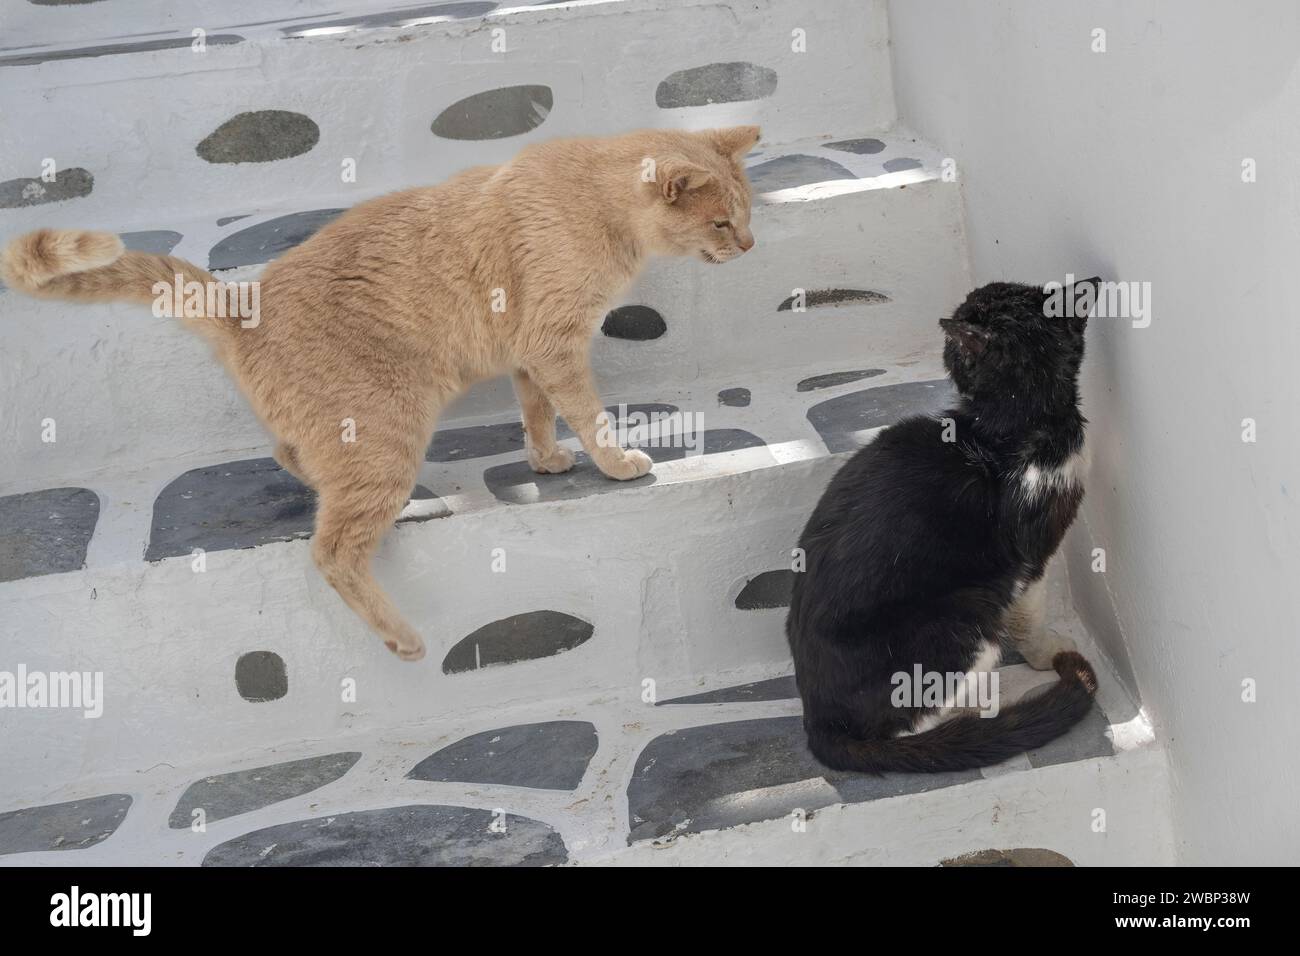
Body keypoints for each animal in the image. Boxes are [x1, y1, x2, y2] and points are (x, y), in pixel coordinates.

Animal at [5, 127, 759, 660]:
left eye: (746, 215)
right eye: (722, 223)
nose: (750, 246)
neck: (593, 206)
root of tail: (244, 306)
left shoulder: (529, 353)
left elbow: (537, 412)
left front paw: (545, 460)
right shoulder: (555, 344)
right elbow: (585, 412)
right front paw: (615, 462)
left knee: (294, 460)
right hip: (384, 440)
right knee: (332, 549)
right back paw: (402, 637)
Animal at [785, 280, 1102, 775]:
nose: (963, 299)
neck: (1013, 421)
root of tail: (819, 720)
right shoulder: (1033, 556)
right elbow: (1030, 616)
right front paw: (1044, 655)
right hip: (965, 615)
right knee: (915, 722)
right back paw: (979, 715)